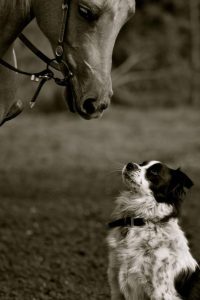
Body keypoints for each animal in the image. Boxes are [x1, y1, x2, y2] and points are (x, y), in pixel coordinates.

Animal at [107, 161, 199, 300]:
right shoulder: (116, 285)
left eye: (154, 172)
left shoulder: (162, 293)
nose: (130, 164)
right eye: (141, 163)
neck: (143, 221)